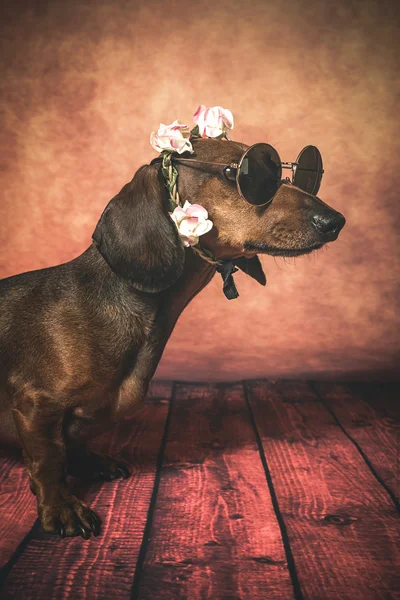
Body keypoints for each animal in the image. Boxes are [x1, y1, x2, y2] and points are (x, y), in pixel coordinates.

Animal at [0, 137, 344, 540]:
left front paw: (89, 462)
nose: (335, 222)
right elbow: (48, 459)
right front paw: (60, 506)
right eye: (239, 172)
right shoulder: (34, 404)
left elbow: (73, 443)